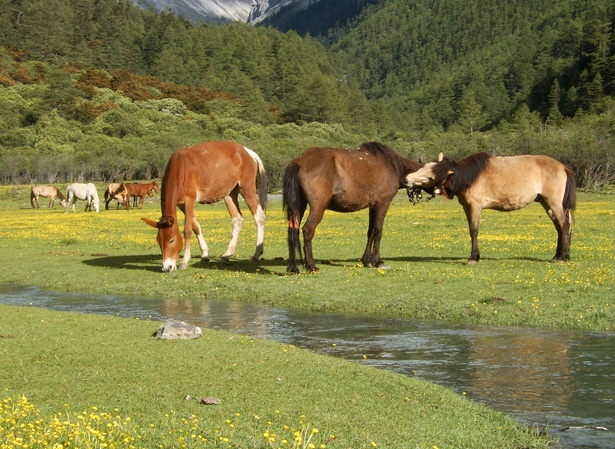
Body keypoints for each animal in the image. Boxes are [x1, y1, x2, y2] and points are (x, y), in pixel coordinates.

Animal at [144, 142, 270, 272]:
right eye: (159, 241)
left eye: (172, 240)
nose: (166, 267)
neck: (181, 168)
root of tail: (247, 152)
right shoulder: (181, 204)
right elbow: (196, 227)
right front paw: (204, 255)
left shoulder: (189, 200)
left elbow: (187, 230)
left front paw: (184, 261)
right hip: (230, 194)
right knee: (237, 219)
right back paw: (226, 255)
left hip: (246, 188)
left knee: (259, 217)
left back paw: (256, 255)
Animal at [284, 142, 424, 272]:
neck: (392, 165)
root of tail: (299, 161)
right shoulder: (382, 203)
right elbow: (378, 231)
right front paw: (378, 261)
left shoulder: (372, 206)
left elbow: (371, 231)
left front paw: (367, 260)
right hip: (318, 207)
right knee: (308, 230)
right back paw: (311, 265)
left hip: (299, 206)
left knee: (293, 229)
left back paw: (292, 267)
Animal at [404, 151, 576, 262]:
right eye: (424, 166)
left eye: (430, 177)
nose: (406, 179)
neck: (468, 176)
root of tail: (563, 167)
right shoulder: (466, 207)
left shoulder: (475, 206)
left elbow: (474, 230)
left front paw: (473, 257)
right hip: (546, 203)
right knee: (560, 227)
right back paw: (560, 255)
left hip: (554, 202)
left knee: (564, 225)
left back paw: (561, 257)